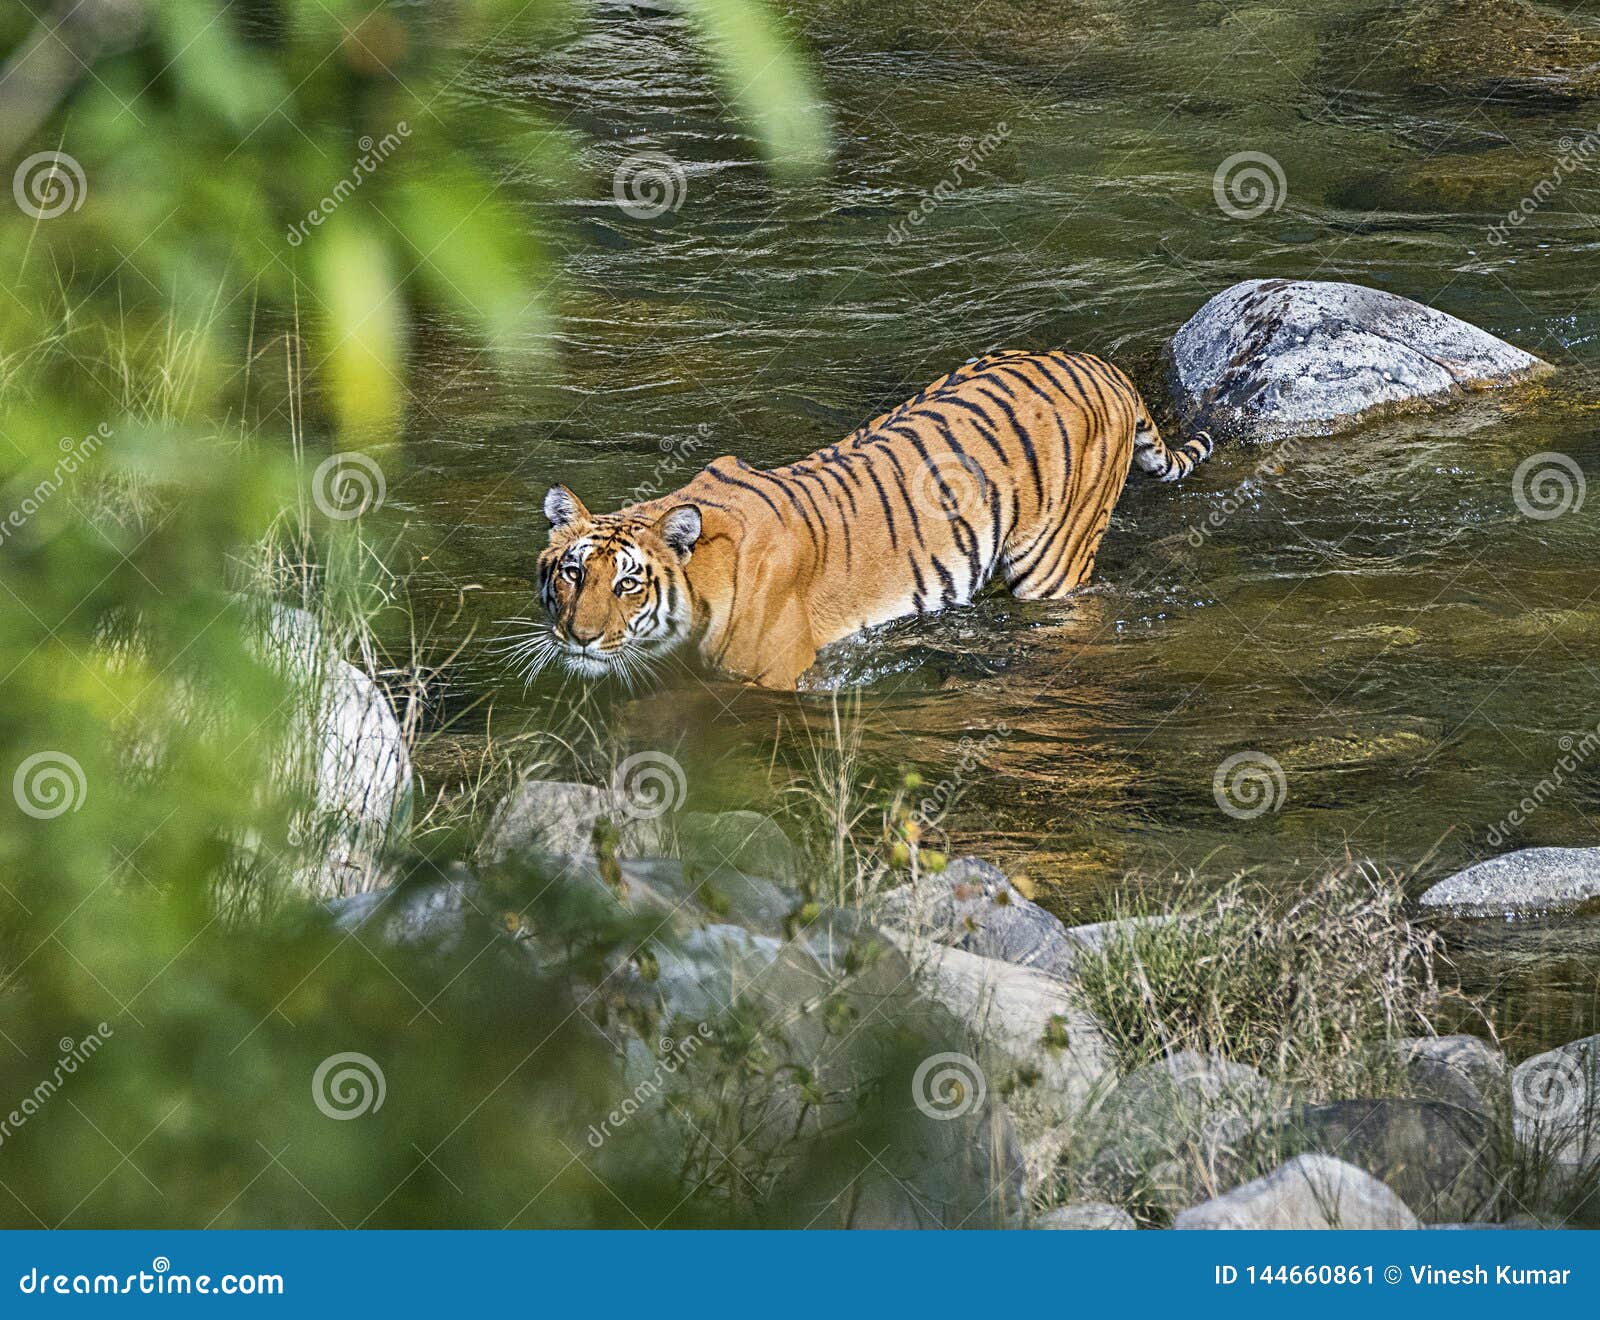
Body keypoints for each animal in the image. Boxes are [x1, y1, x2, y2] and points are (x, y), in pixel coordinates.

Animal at [524, 352, 1209, 691]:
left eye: (628, 584)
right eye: (572, 573)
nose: (579, 637)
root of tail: (1100, 364)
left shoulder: (773, 679)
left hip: (1051, 568)